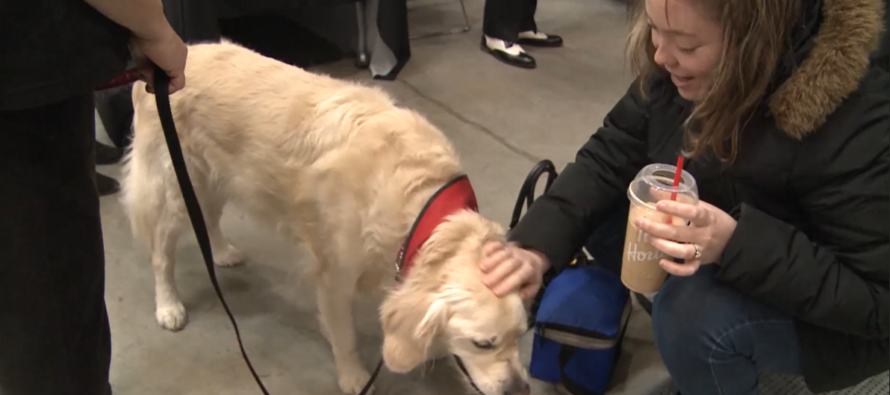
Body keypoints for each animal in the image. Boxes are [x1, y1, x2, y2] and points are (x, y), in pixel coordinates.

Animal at [121, 41, 532, 395]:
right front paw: (353, 377)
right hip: (174, 187)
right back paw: (168, 305)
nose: (520, 389)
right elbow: (345, 335)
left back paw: (221, 252)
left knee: (207, 218)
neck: (420, 206)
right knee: (162, 254)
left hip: (216, 178)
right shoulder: (335, 275)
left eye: (521, 335)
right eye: (483, 343)